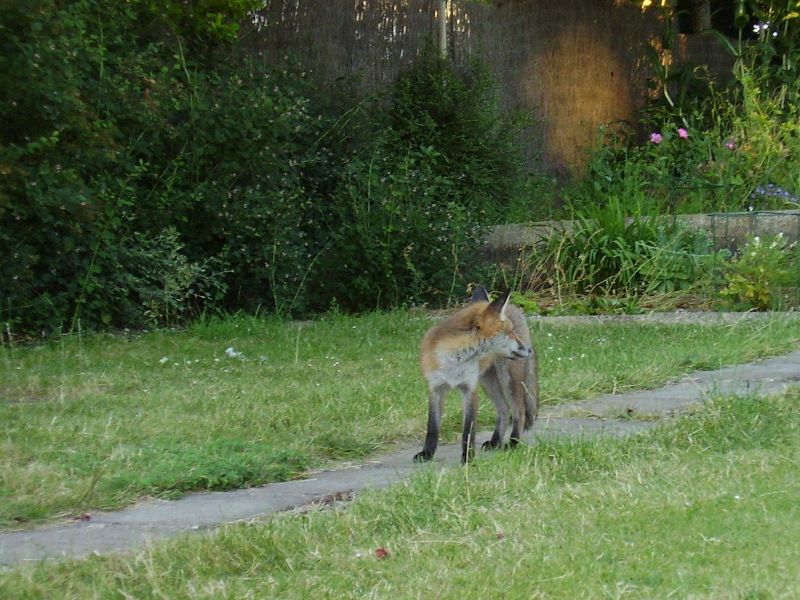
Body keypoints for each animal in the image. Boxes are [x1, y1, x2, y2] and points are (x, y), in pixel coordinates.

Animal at [416, 286, 540, 464]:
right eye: (510, 332)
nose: (528, 350)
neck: (454, 361)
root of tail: (515, 308)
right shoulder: (435, 388)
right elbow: (432, 427)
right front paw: (427, 453)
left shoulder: (470, 390)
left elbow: (468, 430)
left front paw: (468, 458)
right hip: (488, 382)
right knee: (504, 409)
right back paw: (495, 442)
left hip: (506, 380)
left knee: (519, 411)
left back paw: (513, 442)